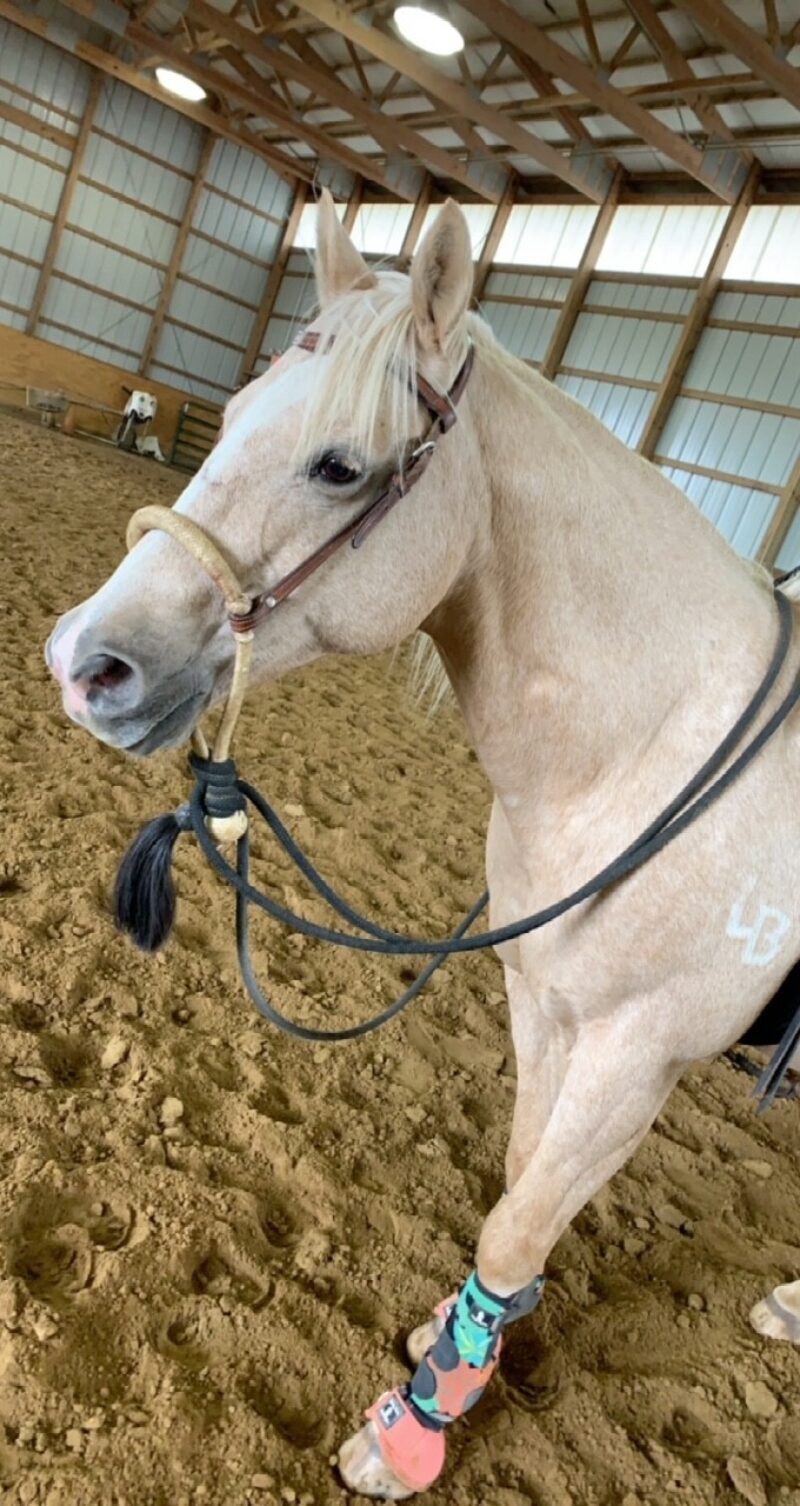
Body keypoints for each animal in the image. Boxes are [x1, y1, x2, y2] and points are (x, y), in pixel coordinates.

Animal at [45, 191, 800, 1499]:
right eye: (230, 415)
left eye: (339, 464)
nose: (86, 662)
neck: (650, 746)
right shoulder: (542, 1005)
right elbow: (521, 1186)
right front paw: (467, 1345)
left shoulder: (635, 1056)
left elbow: (517, 1220)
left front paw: (415, 1427)